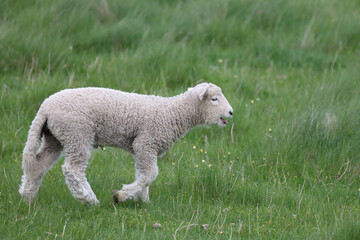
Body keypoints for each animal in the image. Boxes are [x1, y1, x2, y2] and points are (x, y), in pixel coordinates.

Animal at [19, 82, 233, 204]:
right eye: (214, 99)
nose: (231, 112)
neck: (173, 113)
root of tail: (45, 108)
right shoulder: (146, 142)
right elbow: (150, 174)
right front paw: (122, 195)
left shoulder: (147, 148)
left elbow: (145, 175)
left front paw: (143, 199)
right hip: (77, 133)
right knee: (72, 169)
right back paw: (88, 199)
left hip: (54, 137)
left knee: (38, 165)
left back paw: (28, 197)